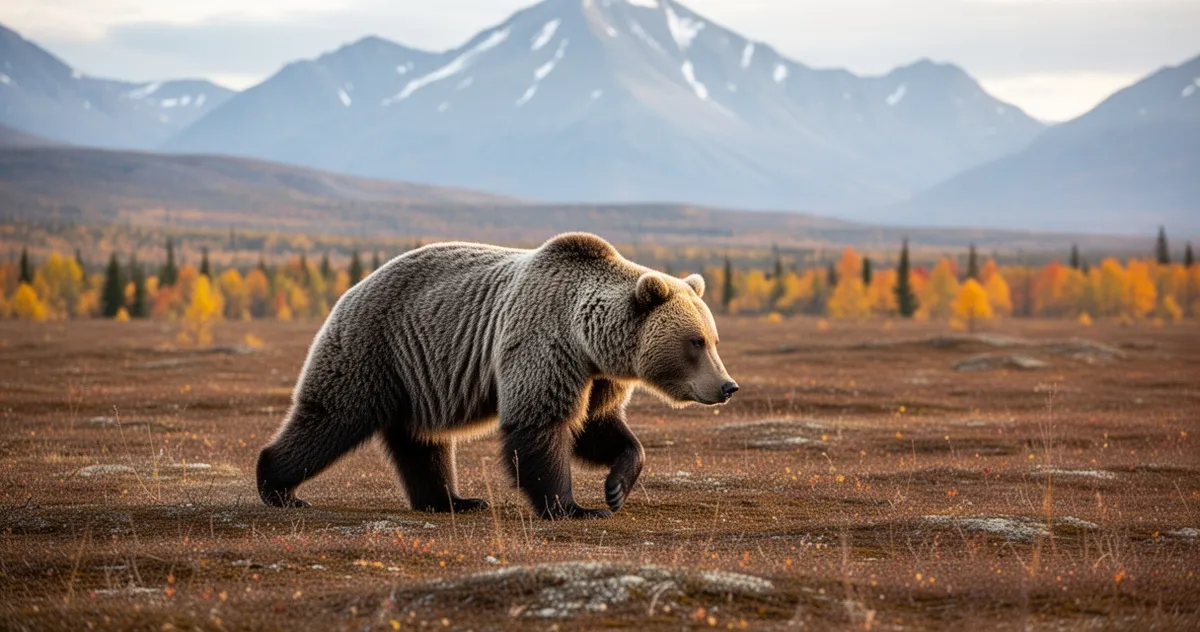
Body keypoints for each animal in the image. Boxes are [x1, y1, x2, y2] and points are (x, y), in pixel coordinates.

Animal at [256, 232, 738, 519]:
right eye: (695, 341)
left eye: (715, 338)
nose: (727, 386)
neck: (589, 340)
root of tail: (351, 288)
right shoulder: (544, 342)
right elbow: (540, 425)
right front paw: (572, 507)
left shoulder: (597, 376)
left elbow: (599, 427)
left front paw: (616, 486)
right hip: (374, 349)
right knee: (331, 417)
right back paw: (279, 486)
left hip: (415, 377)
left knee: (421, 442)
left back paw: (453, 500)